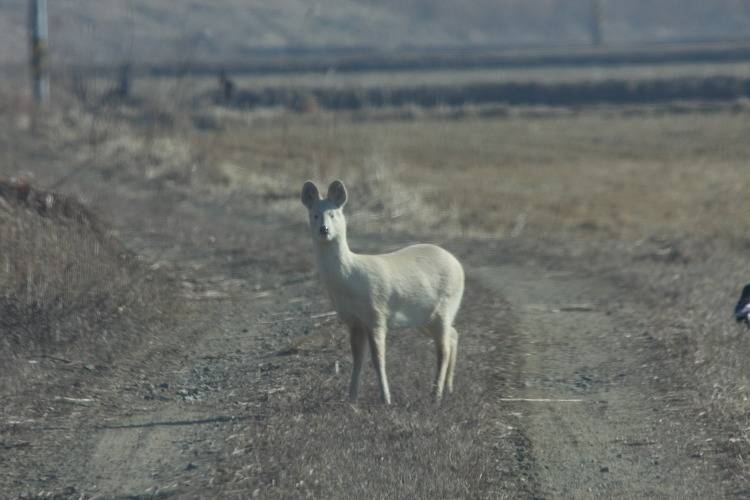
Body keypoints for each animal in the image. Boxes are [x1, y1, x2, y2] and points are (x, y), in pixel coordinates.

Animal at [302, 180, 464, 402]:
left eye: (333, 214)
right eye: (315, 214)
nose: (324, 229)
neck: (349, 278)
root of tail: (459, 266)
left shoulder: (376, 314)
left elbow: (378, 359)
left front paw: (386, 399)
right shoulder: (353, 320)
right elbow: (357, 358)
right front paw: (351, 399)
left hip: (444, 307)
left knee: (444, 349)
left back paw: (435, 395)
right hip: (425, 317)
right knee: (453, 335)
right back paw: (448, 389)